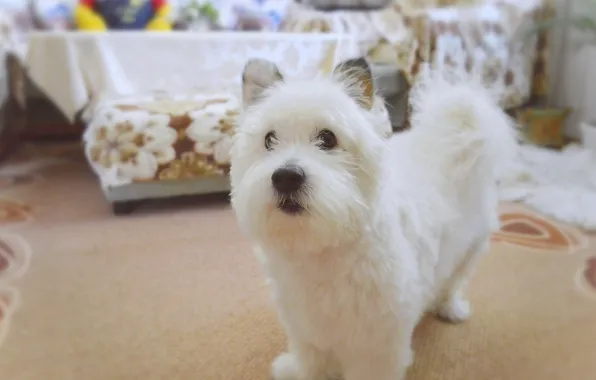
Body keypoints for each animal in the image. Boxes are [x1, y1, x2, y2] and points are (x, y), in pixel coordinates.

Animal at [228, 57, 516, 380]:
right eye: (269, 139)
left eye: (327, 138)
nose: (286, 177)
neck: (323, 247)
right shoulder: (306, 328)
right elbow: (312, 362)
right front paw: (297, 370)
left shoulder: (376, 344)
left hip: (470, 247)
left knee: (452, 283)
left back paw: (450, 308)